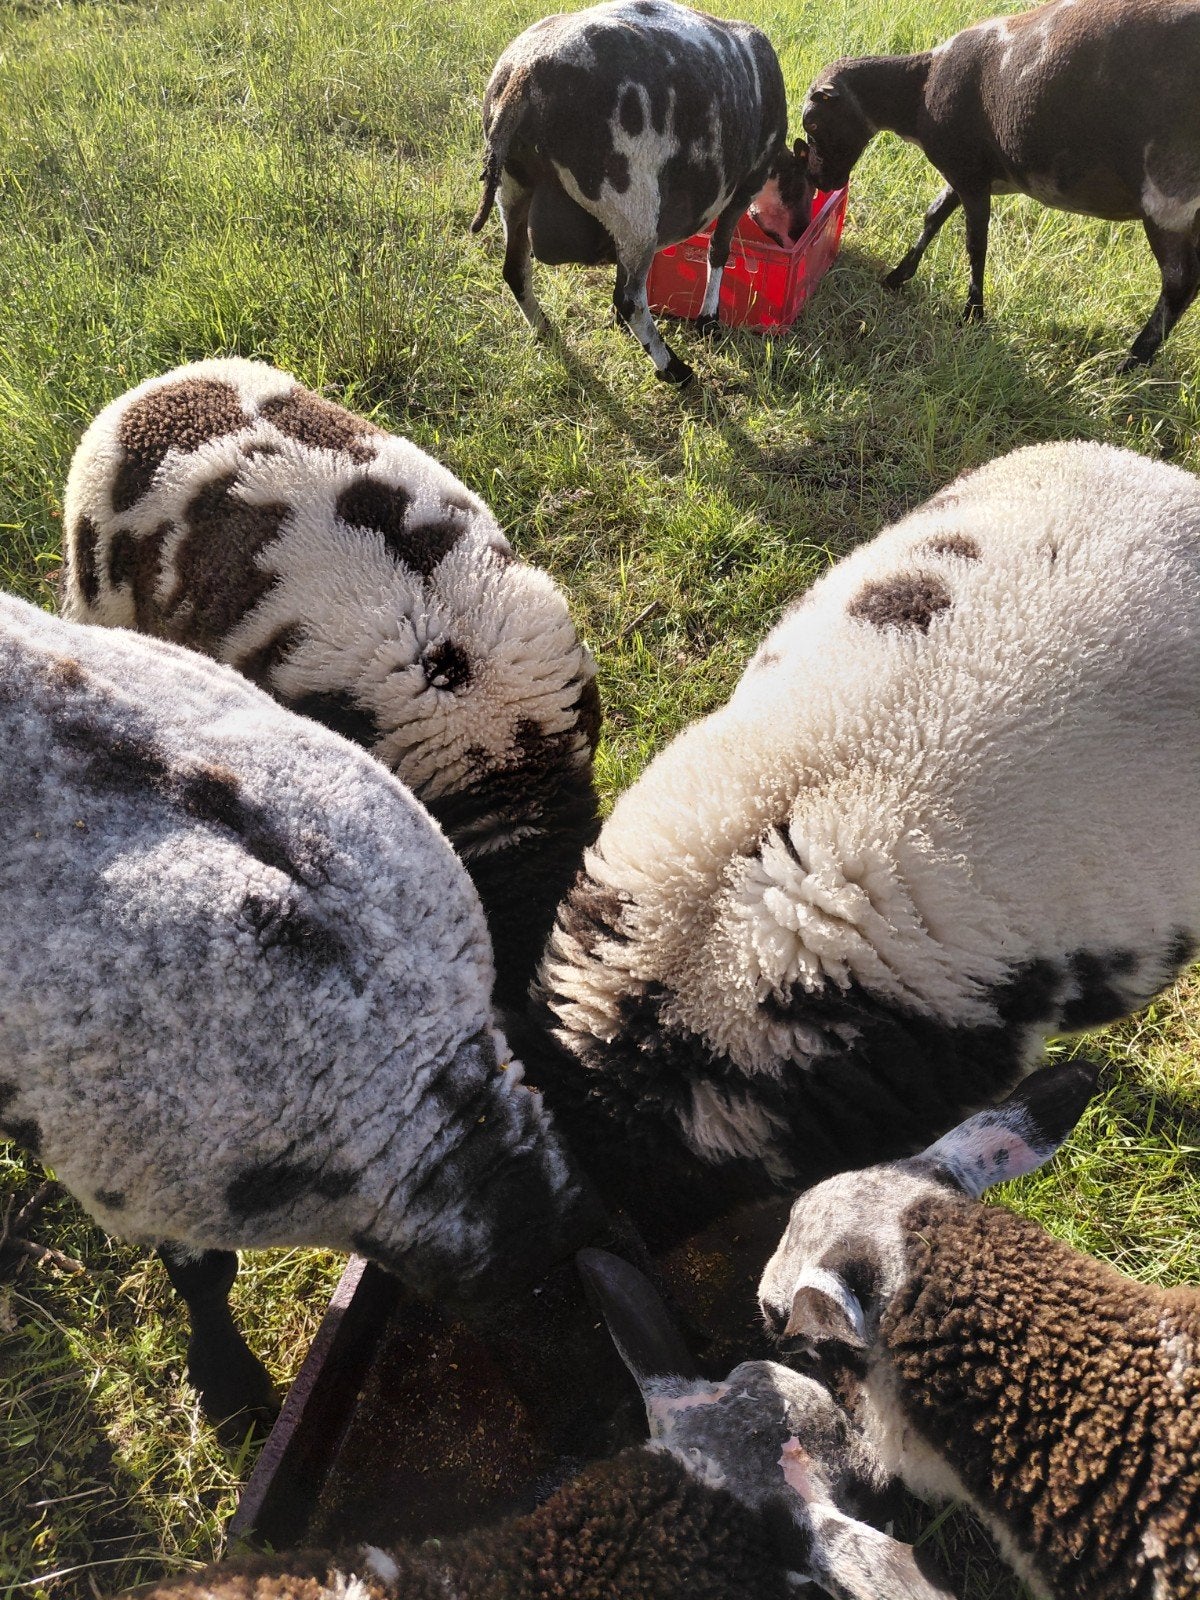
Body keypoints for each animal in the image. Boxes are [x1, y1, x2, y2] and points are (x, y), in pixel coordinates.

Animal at [469, 0, 813, 384]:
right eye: (803, 187)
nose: (801, 230)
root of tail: (522, 78)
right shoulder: (743, 189)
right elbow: (718, 250)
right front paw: (708, 321)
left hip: (514, 190)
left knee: (515, 271)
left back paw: (546, 331)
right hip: (629, 200)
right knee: (630, 298)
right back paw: (674, 368)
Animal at [798, 0, 1200, 367]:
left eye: (813, 124)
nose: (819, 179)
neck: (917, 92)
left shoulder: (969, 174)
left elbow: (975, 244)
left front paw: (973, 314)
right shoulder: (968, 171)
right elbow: (933, 216)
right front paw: (898, 276)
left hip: (1169, 193)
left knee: (1180, 283)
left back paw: (1132, 362)